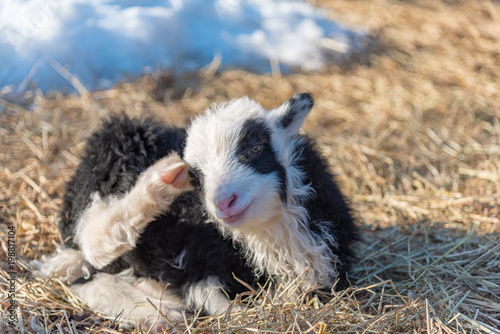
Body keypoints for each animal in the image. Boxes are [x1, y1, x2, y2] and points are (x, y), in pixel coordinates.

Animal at [34, 92, 356, 328]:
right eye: (195, 174)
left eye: (254, 147)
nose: (222, 203)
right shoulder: (195, 261)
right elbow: (218, 304)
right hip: (114, 153)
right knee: (94, 241)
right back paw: (160, 183)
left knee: (85, 273)